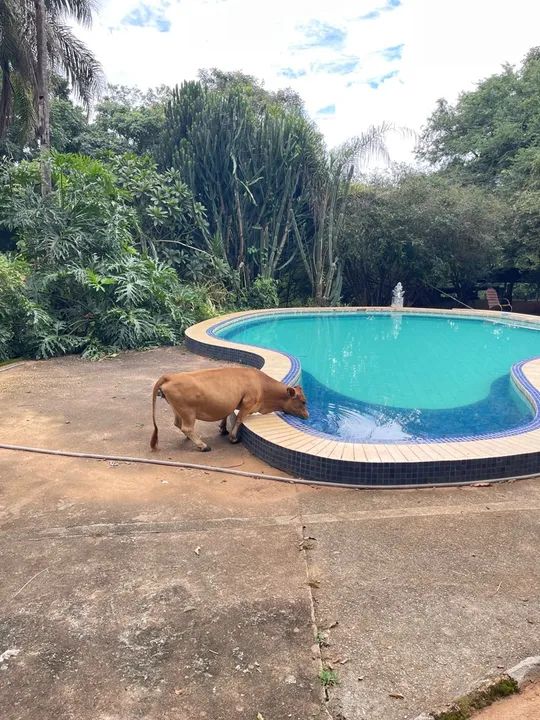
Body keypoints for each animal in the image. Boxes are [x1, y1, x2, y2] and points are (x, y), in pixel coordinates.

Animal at [150, 366, 309, 452]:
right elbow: (239, 419)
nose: (307, 415)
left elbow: (226, 414)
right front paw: (233, 437)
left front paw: (223, 428)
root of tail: (170, 377)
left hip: (178, 410)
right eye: (303, 401)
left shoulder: (231, 402)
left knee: (178, 424)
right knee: (186, 428)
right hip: (188, 412)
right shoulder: (248, 403)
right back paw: (203, 445)